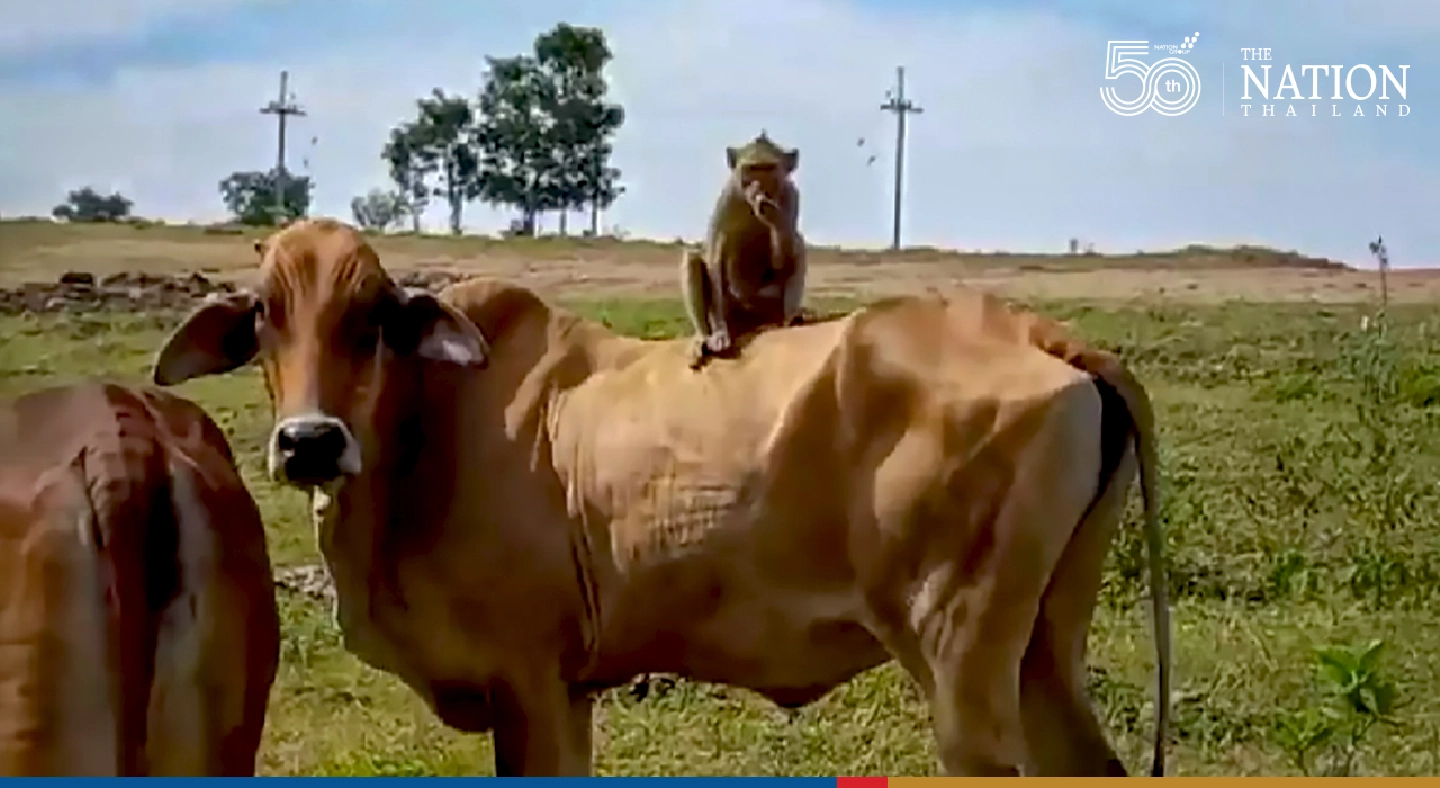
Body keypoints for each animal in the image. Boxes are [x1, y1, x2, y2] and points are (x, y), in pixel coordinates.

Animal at [681, 131, 807, 369]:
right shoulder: (728, 196)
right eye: (752, 168)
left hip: (767, 305)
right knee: (692, 258)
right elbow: (713, 258)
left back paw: (789, 320)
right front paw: (719, 334)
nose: (758, 185)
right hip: (734, 309)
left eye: (768, 168)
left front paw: (772, 215)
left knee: (798, 244)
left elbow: (781, 262)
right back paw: (703, 336)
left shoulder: (792, 196)